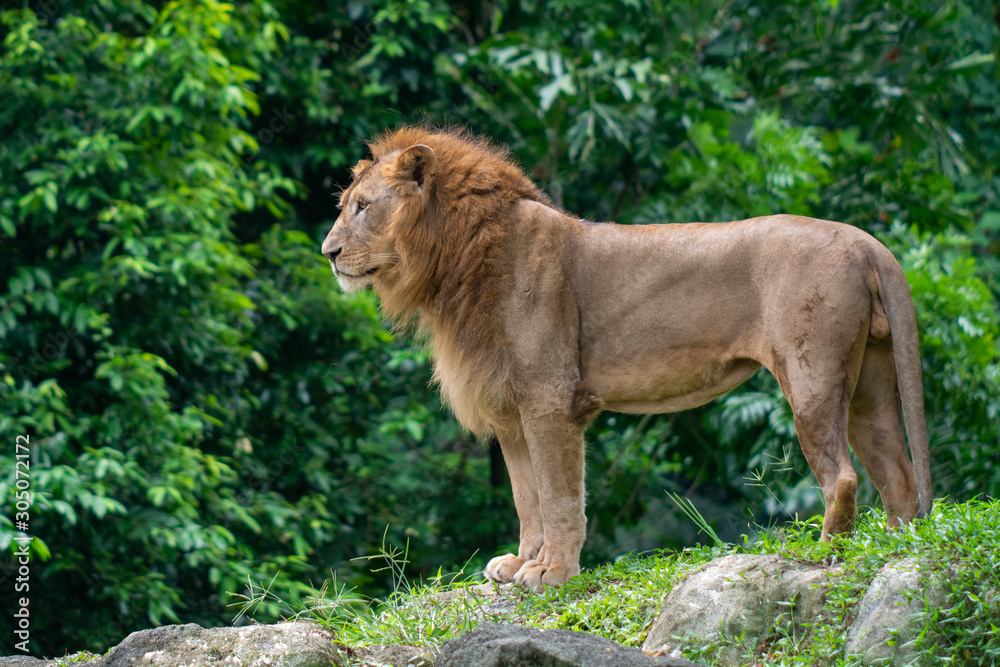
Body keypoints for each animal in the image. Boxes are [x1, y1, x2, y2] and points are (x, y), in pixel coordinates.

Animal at [321, 126, 933, 590]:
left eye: (362, 207)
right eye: (345, 206)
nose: (328, 253)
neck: (452, 265)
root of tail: (865, 240)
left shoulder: (549, 401)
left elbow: (560, 496)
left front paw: (552, 573)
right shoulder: (512, 413)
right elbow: (527, 497)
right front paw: (521, 562)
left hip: (812, 375)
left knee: (844, 478)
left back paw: (825, 556)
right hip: (870, 382)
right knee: (898, 475)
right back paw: (896, 552)